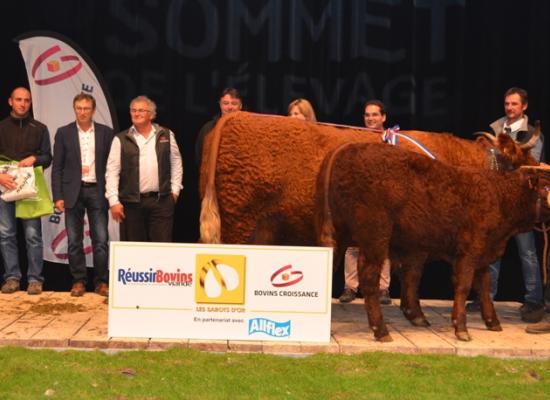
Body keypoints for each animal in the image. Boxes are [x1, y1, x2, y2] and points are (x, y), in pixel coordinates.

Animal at [314, 142, 550, 342]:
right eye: (547, 186)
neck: (499, 196)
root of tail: (345, 149)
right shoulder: (469, 251)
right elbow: (464, 286)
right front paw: (461, 328)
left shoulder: (483, 253)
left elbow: (484, 286)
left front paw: (492, 322)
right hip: (375, 236)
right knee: (369, 277)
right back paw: (381, 331)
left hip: (338, 235)